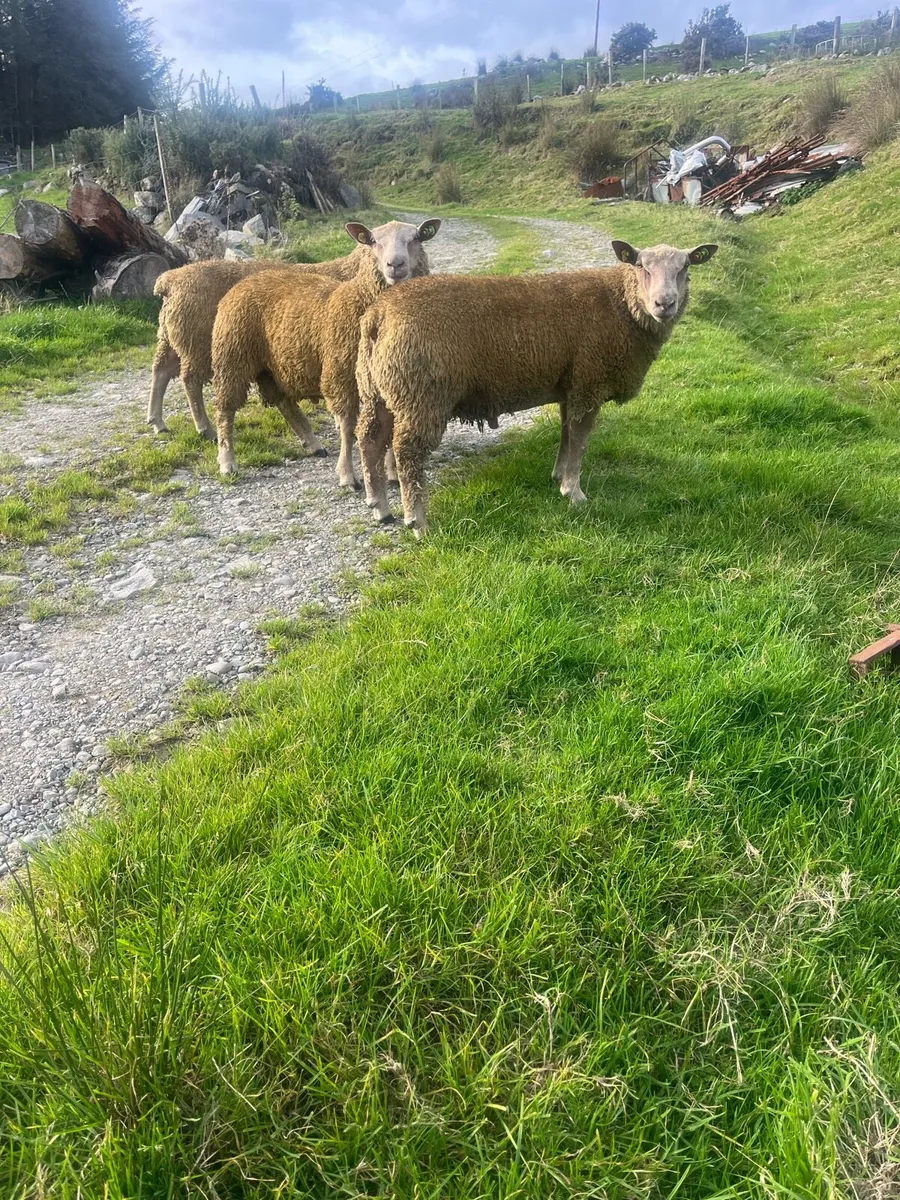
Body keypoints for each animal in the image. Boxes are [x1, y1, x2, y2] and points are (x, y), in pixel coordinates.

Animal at [146, 220, 437, 442]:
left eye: (416, 239)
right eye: (374, 241)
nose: (395, 265)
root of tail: (169, 280)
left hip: (172, 335)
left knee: (161, 369)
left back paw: (157, 421)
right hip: (198, 342)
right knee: (190, 380)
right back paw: (204, 428)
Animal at [211, 218, 442, 480]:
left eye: (416, 238)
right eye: (373, 241)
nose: (395, 265)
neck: (358, 301)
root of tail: (245, 282)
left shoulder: (389, 380)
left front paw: (392, 472)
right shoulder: (340, 373)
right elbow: (347, 425)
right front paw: (347, 475)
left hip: (272, 364)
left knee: (283, 402)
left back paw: (312, 443)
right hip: (231, 355)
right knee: (225, 408)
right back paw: (227, 461)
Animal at [355, 239, 719, 537]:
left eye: (685, 267)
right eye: (641, 266)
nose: (664, 304)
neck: (621, 306)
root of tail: (380, 314)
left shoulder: (570, 385)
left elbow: (566, 433)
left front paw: (558, 476)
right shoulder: (589, 381)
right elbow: (581, 439)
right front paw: (574, 492)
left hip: (379, 389)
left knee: (370, 438)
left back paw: (379, 507)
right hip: (421, 395)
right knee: (407, 454)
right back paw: (417, 522)